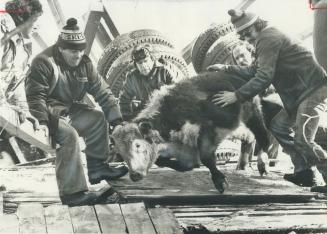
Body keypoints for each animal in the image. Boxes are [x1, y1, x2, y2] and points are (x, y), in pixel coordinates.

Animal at [111, 72, 270, 194]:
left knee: (262, 136)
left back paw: (262, 163)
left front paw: (220, 182)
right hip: (236, 125)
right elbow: (169, 163)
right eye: (120, 152)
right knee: (248, 136)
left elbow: (206, 158)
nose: (134, 175)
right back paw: (242, 165)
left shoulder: (208, 131)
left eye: (137, 145)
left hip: (252, 113)